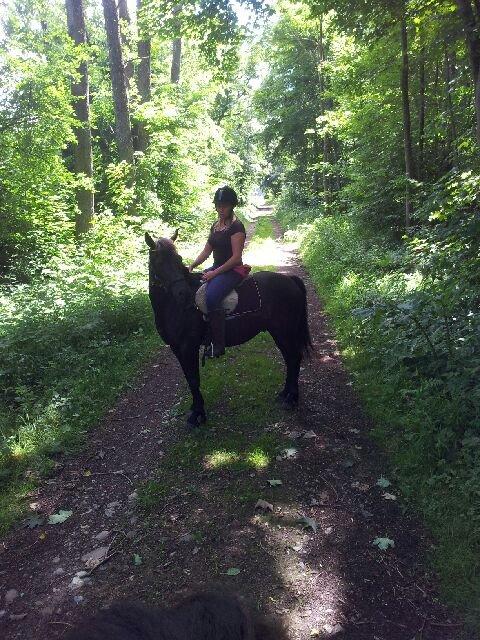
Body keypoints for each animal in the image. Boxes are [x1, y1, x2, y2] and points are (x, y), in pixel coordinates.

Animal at [145, 232, 312, 428]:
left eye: (178, 259)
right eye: (158, 262)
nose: (184, 295)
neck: (173, 307)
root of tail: (290, 279)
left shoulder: (188, 347)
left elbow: (194, 379)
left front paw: (197, 415)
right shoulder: (176, 348)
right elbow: (188, 378)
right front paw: (195, 409)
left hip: (285, 331)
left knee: (294, 358)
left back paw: (291, 399)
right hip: (279, 332)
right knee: (289, 359)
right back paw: (284, 395)